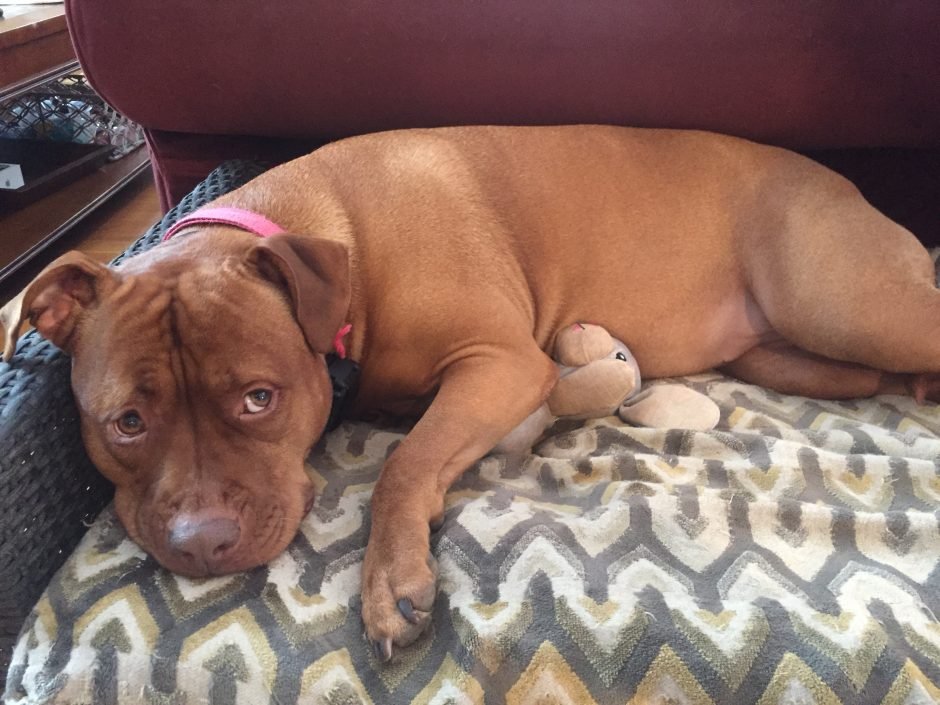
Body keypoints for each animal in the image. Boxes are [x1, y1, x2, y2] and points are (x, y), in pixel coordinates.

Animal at [3, 125, 938, 661]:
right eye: (127, 422)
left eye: (259, 398)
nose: (203, 541)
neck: (331, 238)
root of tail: (850, 186)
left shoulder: (501, 364)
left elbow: (403, 464)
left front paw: (391, 581)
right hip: (793, 354)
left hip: (846, 303)